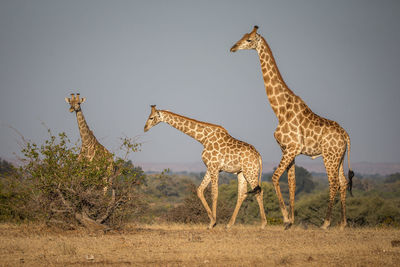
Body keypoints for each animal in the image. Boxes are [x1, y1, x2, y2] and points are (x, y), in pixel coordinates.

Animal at [230, 25, 354, 230]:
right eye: (242, 36)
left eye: (249, 40)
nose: (233, 47)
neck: (280, 110)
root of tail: (345, 135)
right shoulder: (289, 150)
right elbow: (292, 183)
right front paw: (291, 221)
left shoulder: (290, 149)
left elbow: (274, 178)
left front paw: (287, 219)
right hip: (340, 157)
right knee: (343, 182)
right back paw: (343, 223)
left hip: (329, 156)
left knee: (334, 183)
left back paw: (326, 222)